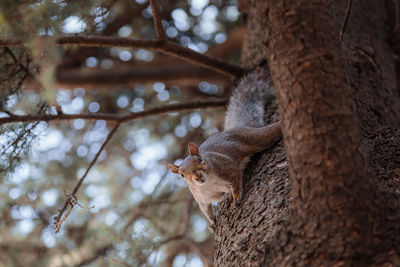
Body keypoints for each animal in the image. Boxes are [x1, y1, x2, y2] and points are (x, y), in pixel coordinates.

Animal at [166, 69, 282, 232]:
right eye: (182, 175)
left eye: (199, 159)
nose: (198, 177)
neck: (208, 183)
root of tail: (238, 127)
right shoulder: (201, 199)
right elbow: (206, 211)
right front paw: (212, 223)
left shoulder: (227, 169)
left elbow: (236, 180)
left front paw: (236, 198)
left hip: (254, 137)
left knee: (270, 132)